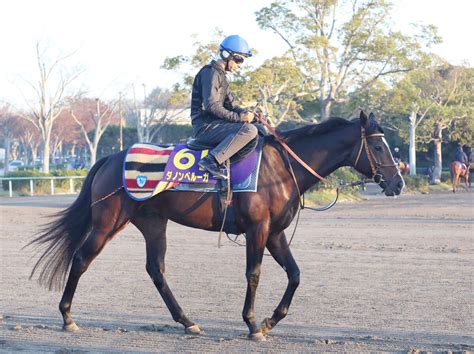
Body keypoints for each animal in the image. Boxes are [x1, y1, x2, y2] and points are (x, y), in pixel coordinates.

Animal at [27, 110, 404, 340]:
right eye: (377, 145)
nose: (398, 182)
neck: (280, 169)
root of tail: (110, 158)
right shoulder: (258, 230)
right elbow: (254, 274)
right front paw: (252, 323)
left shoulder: (276, 233)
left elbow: (295, 274)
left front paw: (271, 320)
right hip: (108, 222)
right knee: (81, 259)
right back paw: (67, 317)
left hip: (153, 223)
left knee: (156, 269)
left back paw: (187, 321)